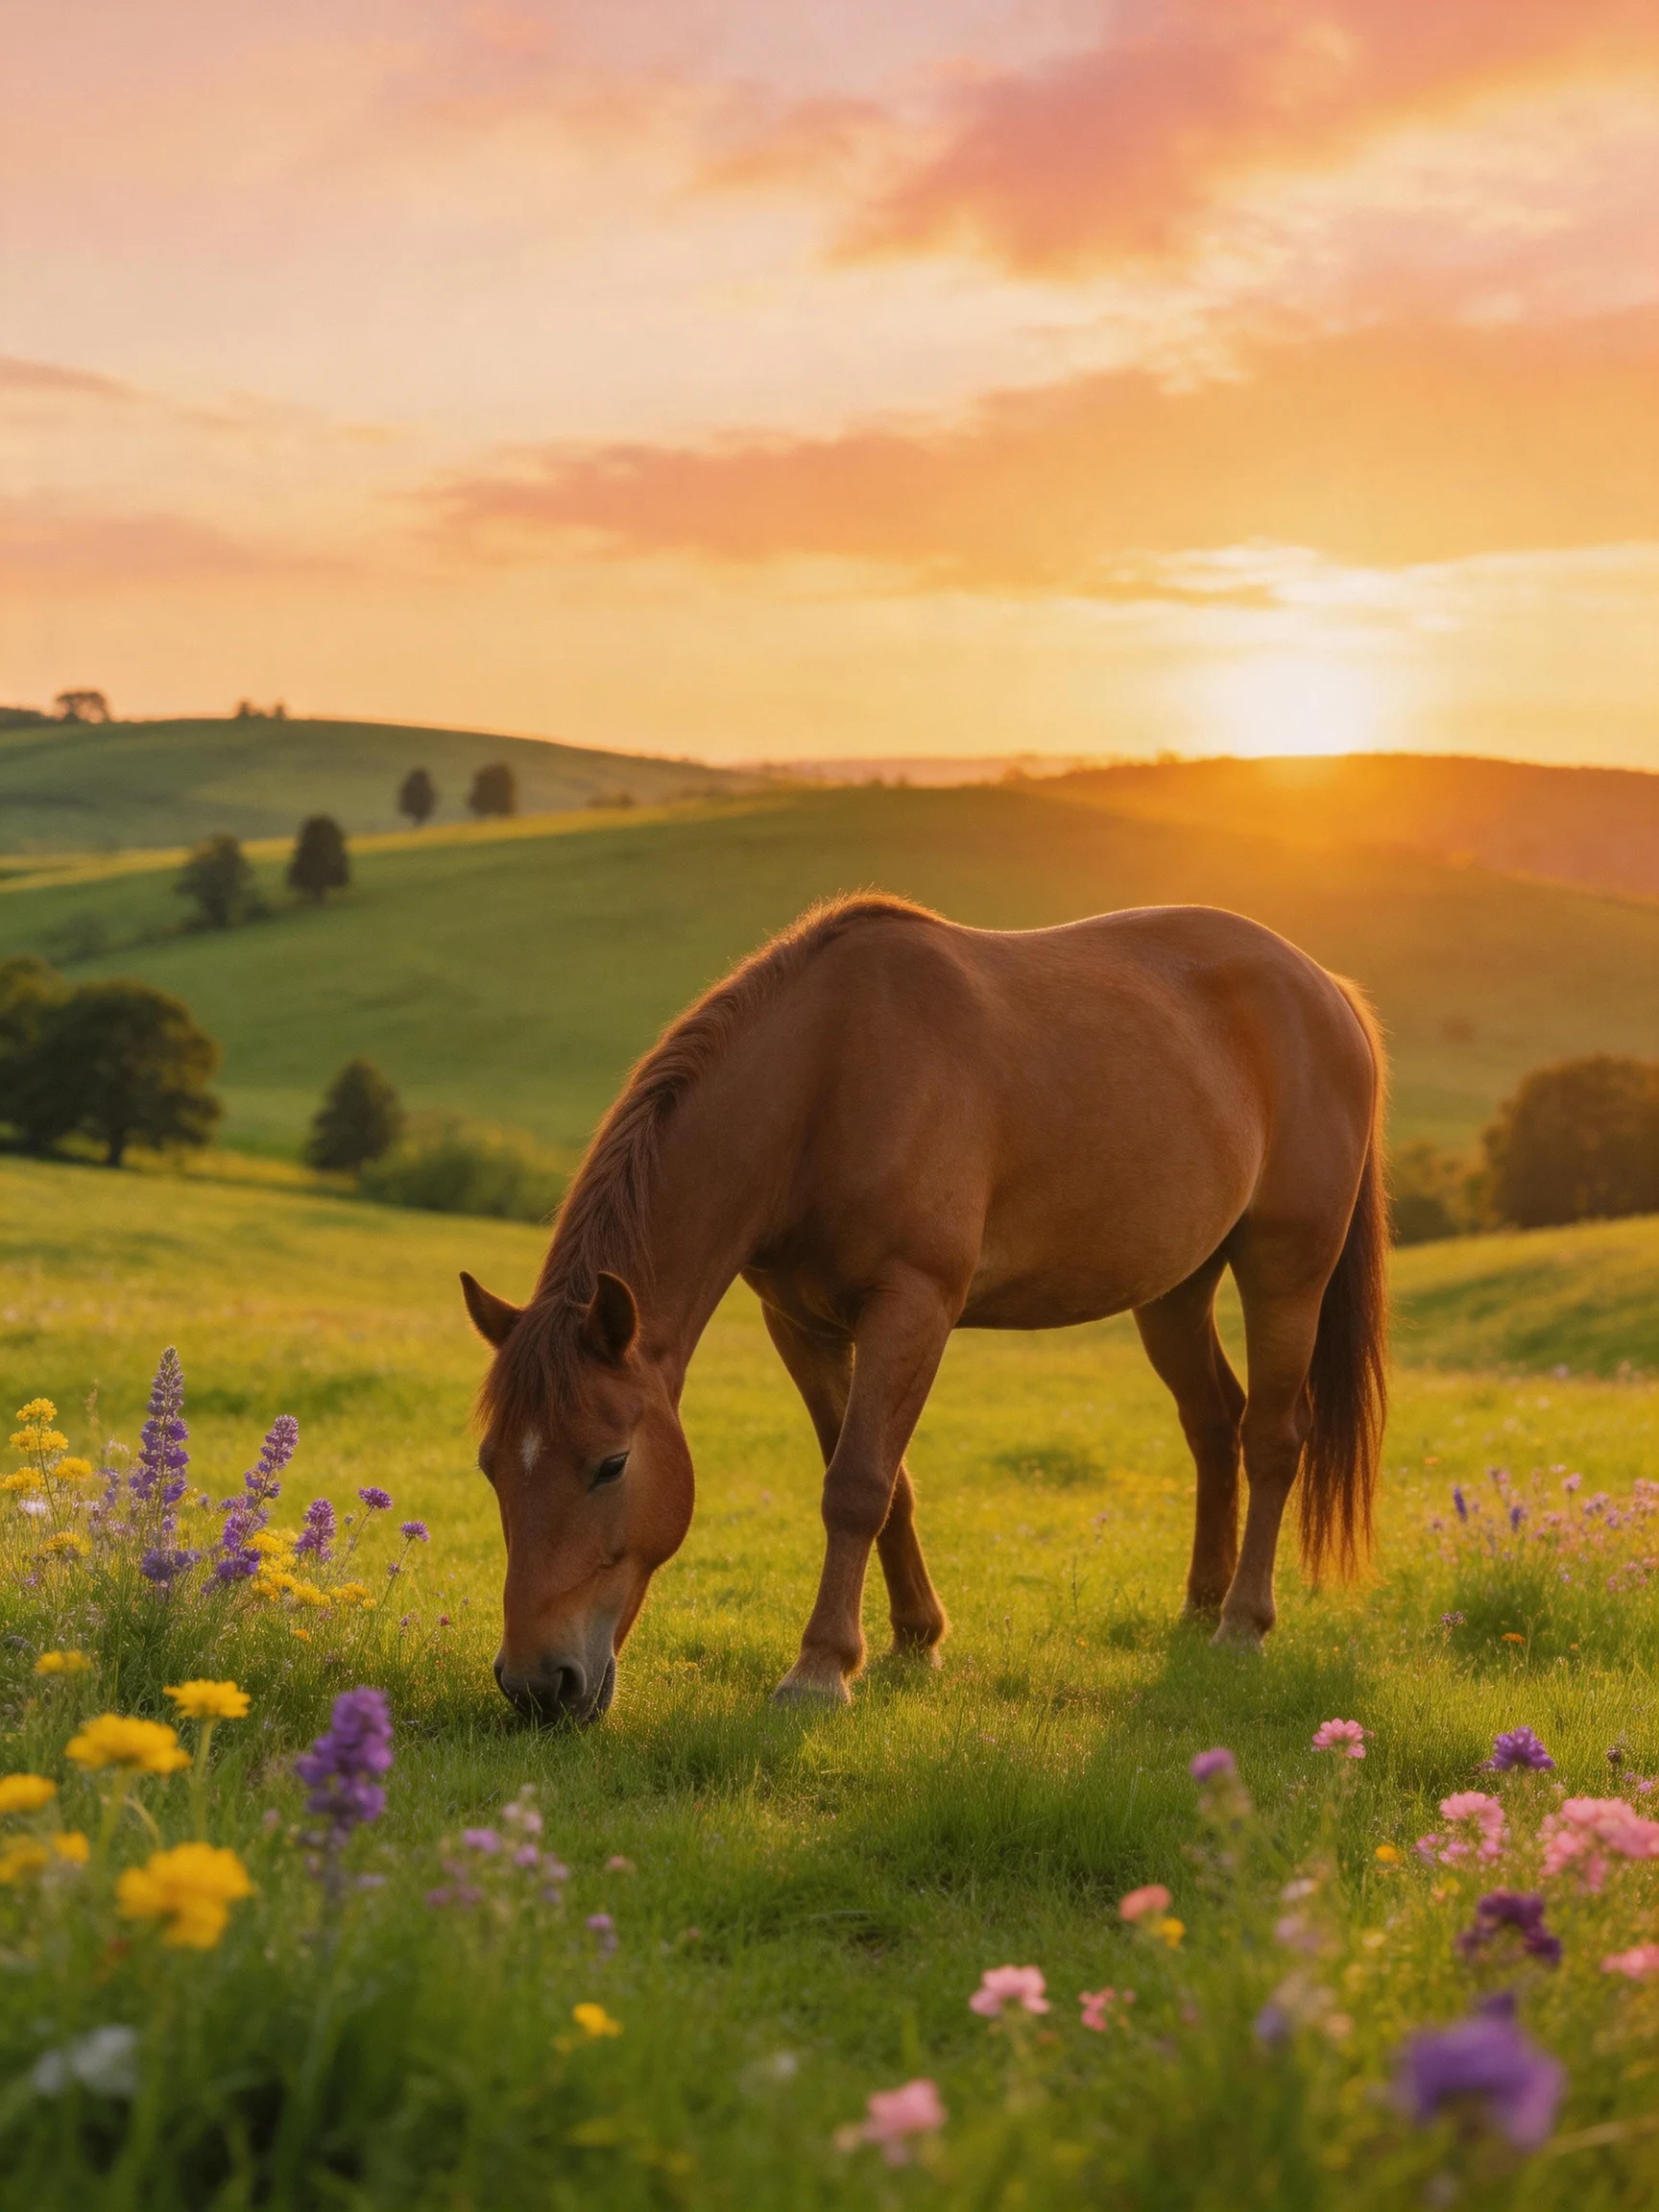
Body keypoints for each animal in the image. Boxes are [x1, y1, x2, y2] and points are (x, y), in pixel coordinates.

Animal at [461, 895, 1388, 1722]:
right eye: (491, 1465)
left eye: (612, 1464)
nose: (538, 1685)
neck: (826, 1079)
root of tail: (1328, 989)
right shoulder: (802, 1326)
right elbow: (885, 1481)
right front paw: (913, 1639)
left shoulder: (912, 1306)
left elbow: (858, 1484)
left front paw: (820, 1670)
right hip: (1174, 1290)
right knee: (1212, 1423)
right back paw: (1199, 1606)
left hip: (1285, 1270)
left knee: (1272, 1438)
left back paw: (1242, 1625)